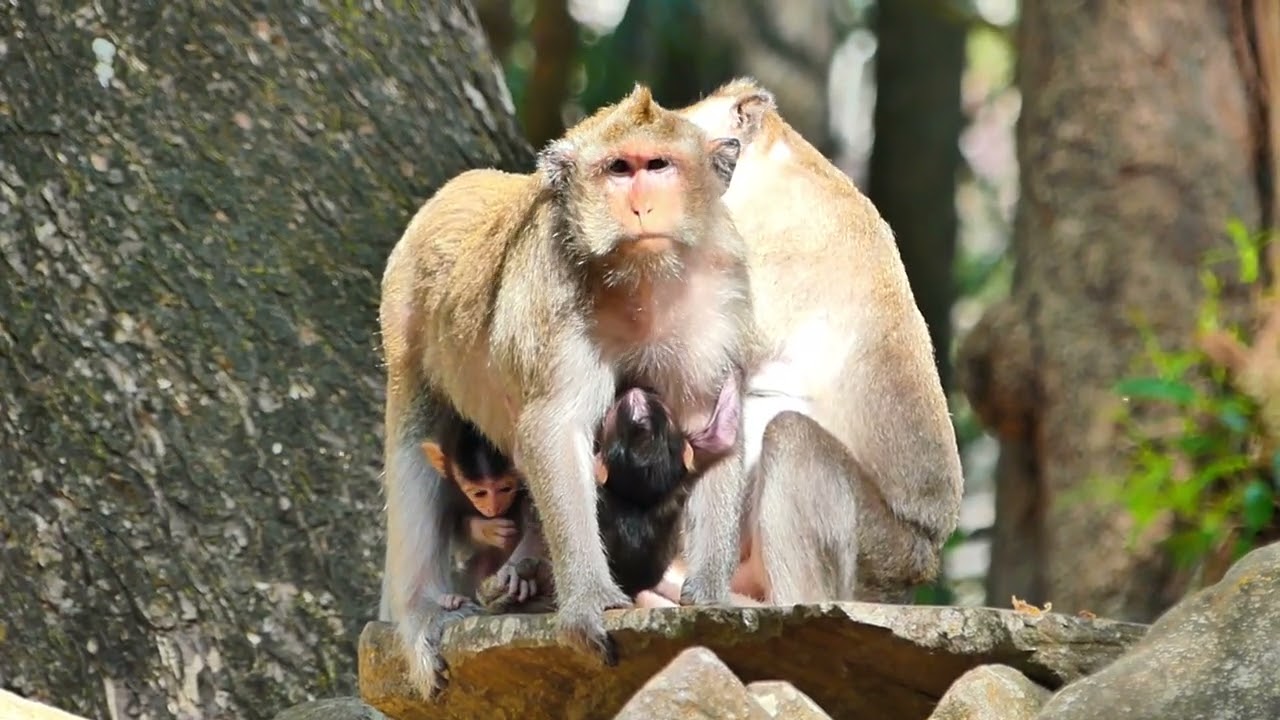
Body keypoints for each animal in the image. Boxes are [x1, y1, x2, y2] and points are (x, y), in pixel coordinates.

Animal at [378, 84, 757, 699]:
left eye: (659, 165)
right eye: (619, 168)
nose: (642, 207)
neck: (638, 281)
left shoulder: (717, 300)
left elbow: (712, 428)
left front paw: (710, 595)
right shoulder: (553, 301)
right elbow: (554, 428)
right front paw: (588, 604)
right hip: (405, 318)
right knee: (414, 444)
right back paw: (427, 611)